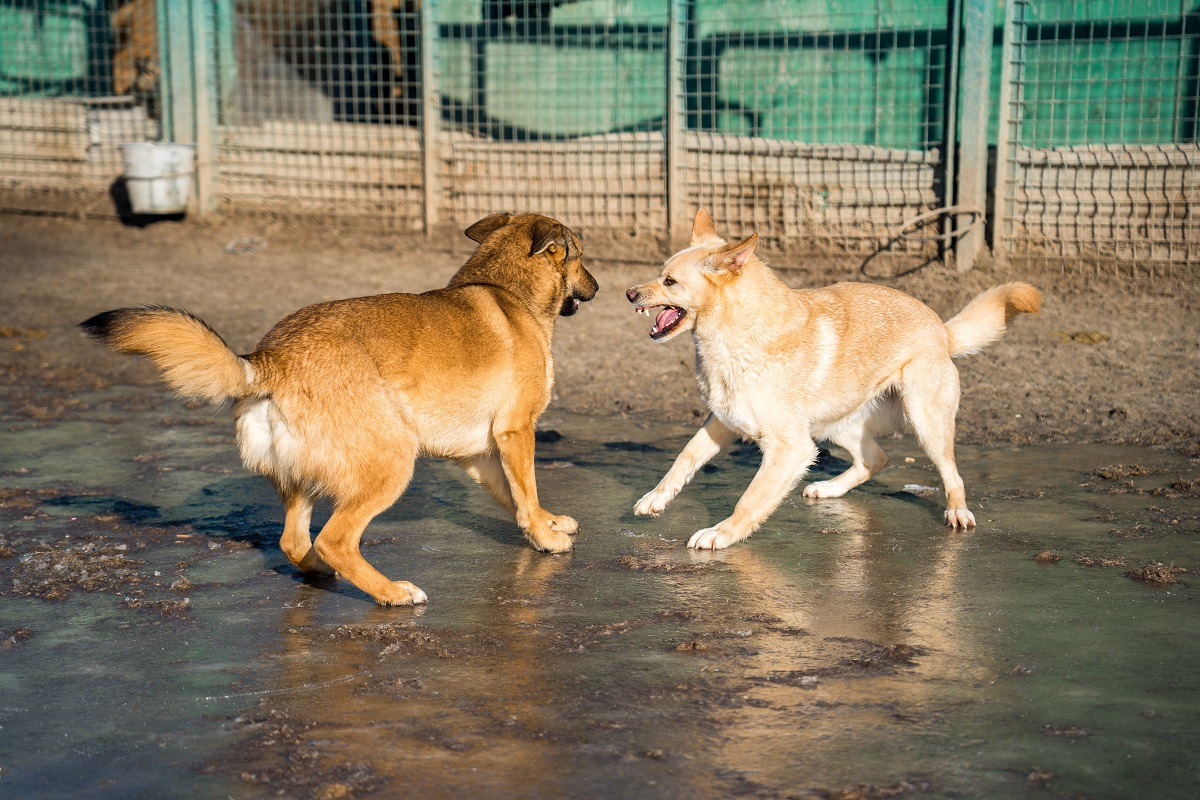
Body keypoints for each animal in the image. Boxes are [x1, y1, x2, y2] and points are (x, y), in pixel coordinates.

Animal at [628, 209, 1041, 551]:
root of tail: (942, 329)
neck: (735, 336)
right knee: (876, 458)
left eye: (670, 281)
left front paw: (721, 534)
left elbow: (750, 499)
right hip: (833, 426)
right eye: (660, 274)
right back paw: (829, 488)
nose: (630, 293)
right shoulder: (724, 422)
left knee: (951, 475)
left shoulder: (790, 448)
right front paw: (655, 498)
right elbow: (685, 457)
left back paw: (957, 512)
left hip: (924, 422)